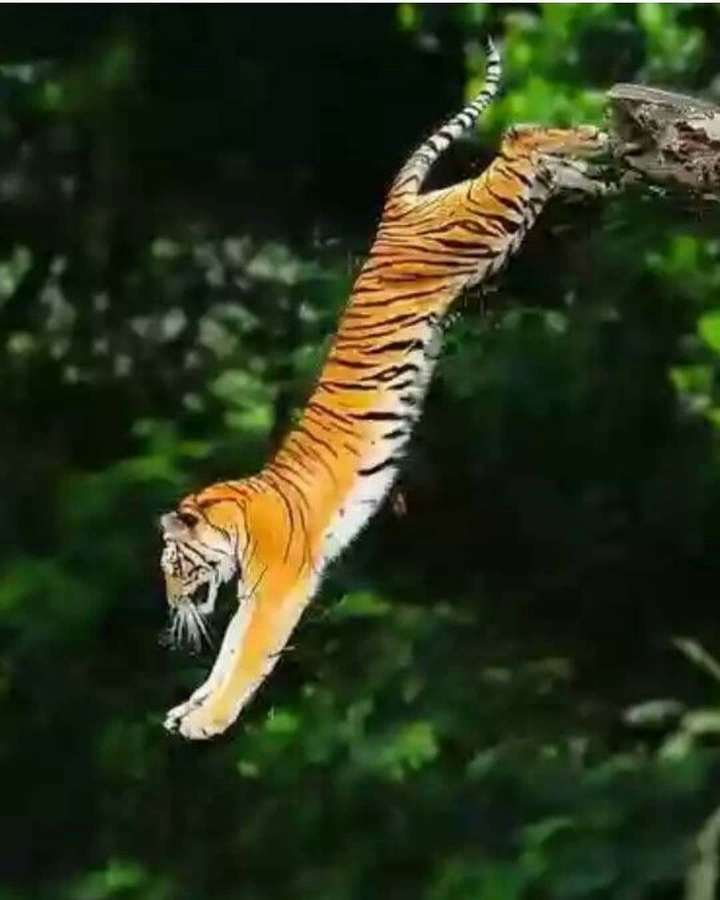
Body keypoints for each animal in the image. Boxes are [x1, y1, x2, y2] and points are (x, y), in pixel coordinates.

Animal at [160, 40, 610, 739]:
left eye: (176, 570)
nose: (172, 614)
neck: (236, 527)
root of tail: (397, 213)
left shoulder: (278, 590)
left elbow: (244, 660)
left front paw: (209, 720)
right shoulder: (257, 594)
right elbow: (226, 658)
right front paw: (189, 709)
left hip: (485, 224)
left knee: (517, 139)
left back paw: (592, 137)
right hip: (494, 224)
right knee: (534, 163)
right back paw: (594, 169)